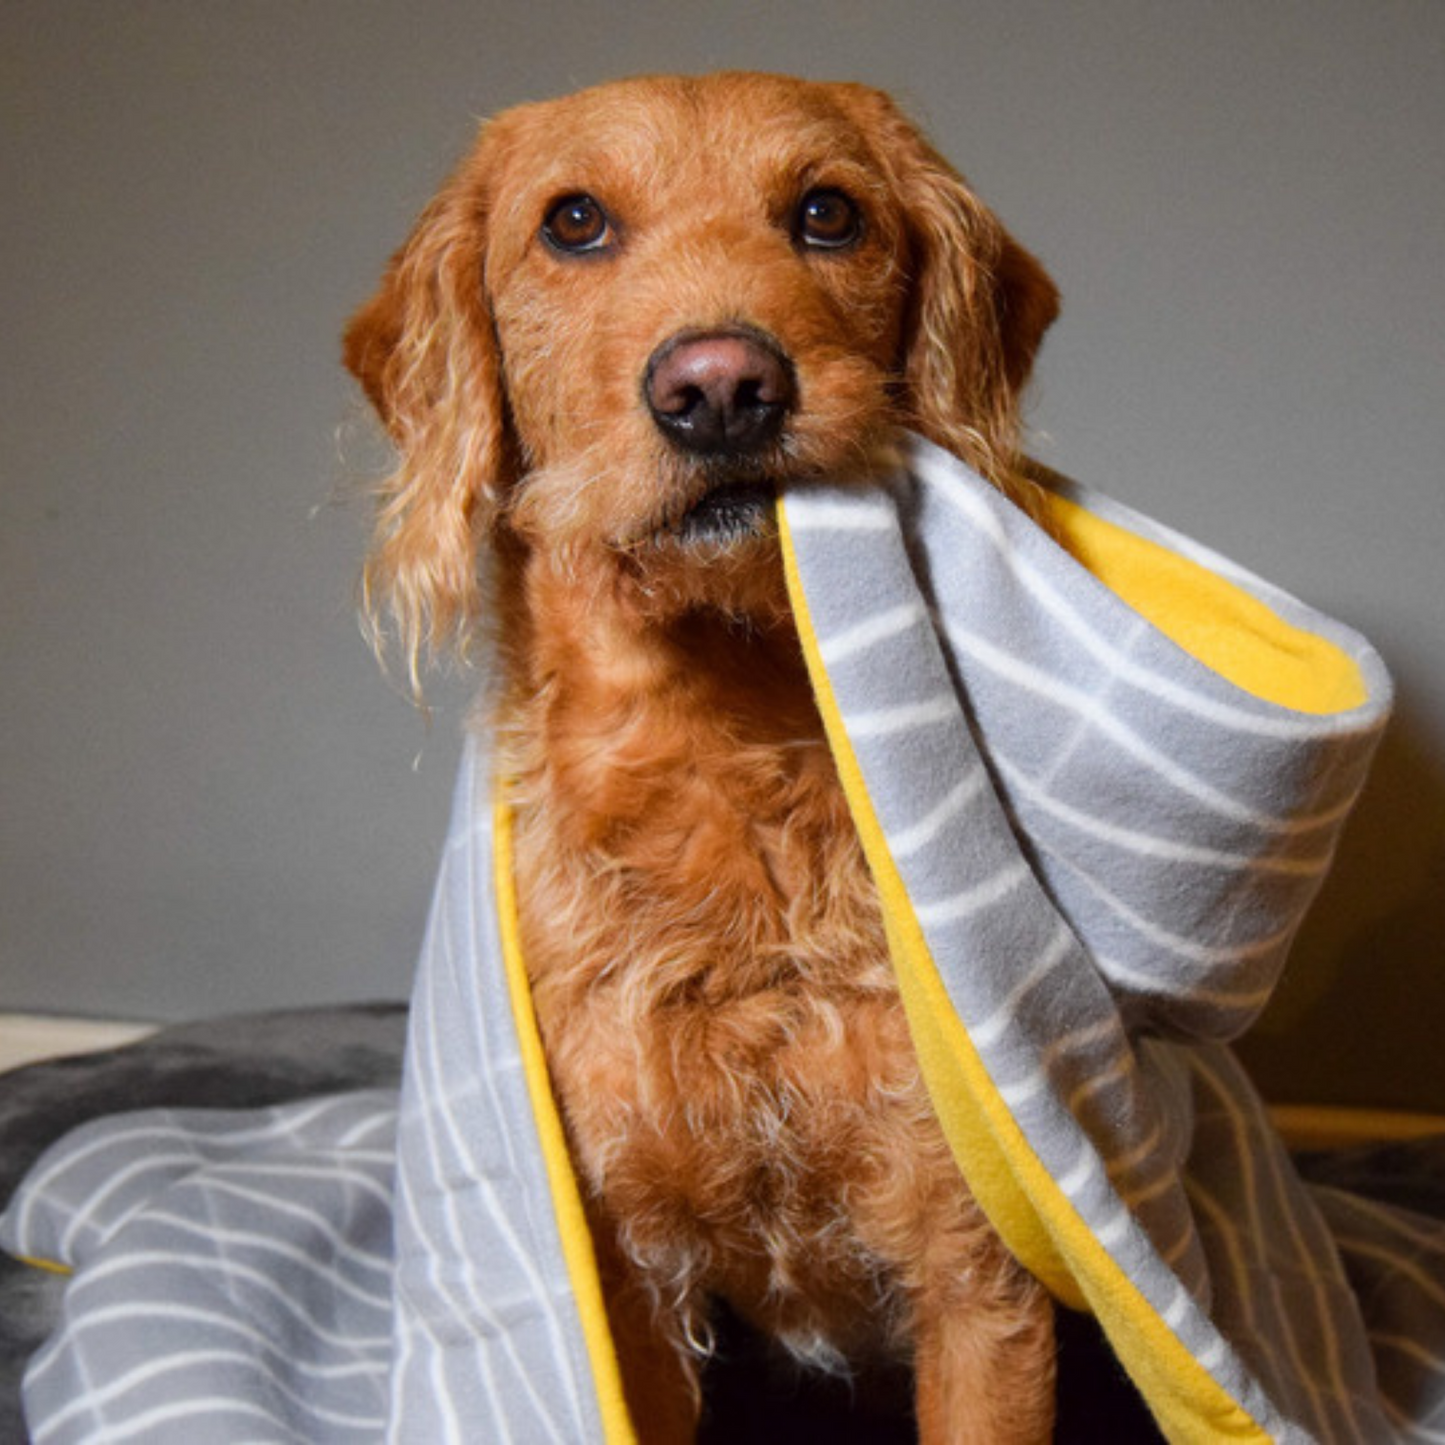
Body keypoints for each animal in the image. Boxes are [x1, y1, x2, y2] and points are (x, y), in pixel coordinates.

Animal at [348, 70, 1063, 1445]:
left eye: (828, 212)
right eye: (571, 220)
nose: (722, 385)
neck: (726, 751)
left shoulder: (976, 1274)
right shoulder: (623, 1283)